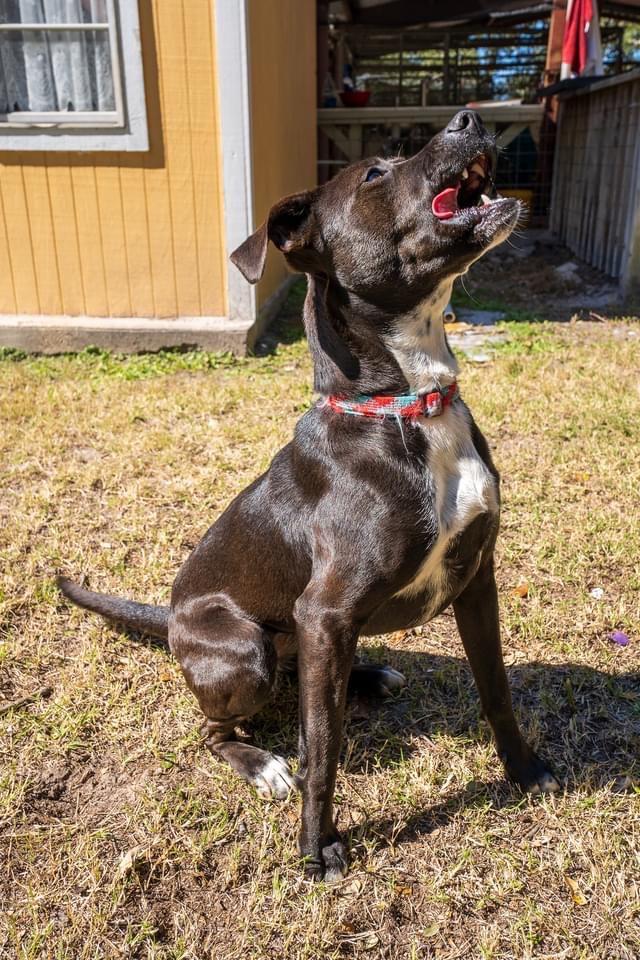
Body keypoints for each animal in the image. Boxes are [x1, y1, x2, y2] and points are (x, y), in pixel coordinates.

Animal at [60, 110, 560, 876]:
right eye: (376, 173)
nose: (470, 117)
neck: (406, 408)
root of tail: (171, 618)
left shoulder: (477, 579)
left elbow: (497, 691)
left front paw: (524, 770)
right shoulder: (326, 611)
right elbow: (323, 751)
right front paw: (316, 844)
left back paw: (368, 679)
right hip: (247, 649)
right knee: (220, 728)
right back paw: (264, 762)